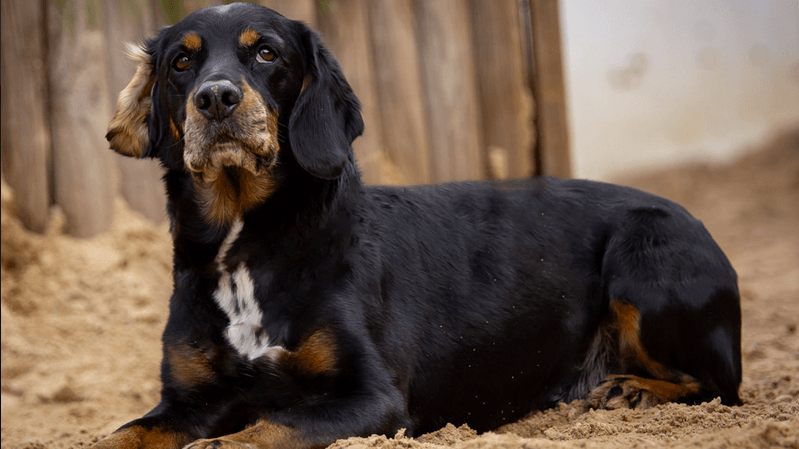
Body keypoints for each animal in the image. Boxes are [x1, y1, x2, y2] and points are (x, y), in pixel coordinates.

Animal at [95, 4, 744, 448]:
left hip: (646, 256)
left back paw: (633, 389)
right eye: (181, 61)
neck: (248, 246)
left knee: (722, 384)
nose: (215, 98)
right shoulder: (188, 399)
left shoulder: (372, 399)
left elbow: (262, 431)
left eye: (267, 54)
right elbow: (123, 433)